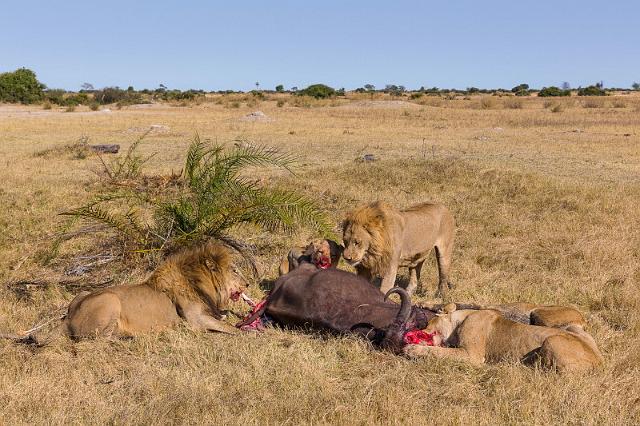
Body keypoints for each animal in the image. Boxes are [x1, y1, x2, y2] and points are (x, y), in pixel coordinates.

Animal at [402, 302, 604, 372]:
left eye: (427, 324)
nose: (408, 334)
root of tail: (599, 360)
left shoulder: (472, 355)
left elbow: (437, 352)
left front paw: (412, 350)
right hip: (574, 328)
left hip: (551, 339)